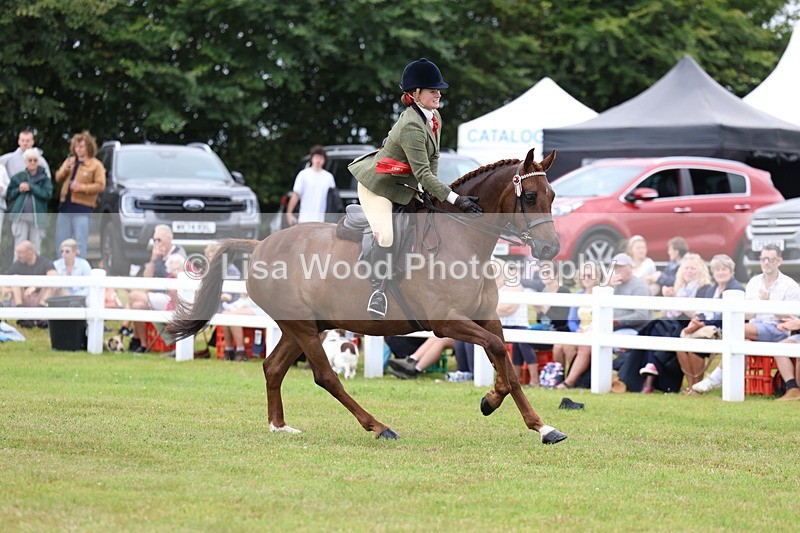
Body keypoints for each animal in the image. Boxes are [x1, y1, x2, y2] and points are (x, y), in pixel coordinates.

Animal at [167, 148, 568, 445]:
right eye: (529, 196)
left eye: (552, 196)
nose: (550, 249)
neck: (463, 239)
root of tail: (261, 244)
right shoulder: (447, 322)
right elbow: (499, 351)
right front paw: (496, 402)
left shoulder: (486, 318)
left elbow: (507, 363)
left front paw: (535, 423)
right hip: (304, 328)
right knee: (325, 375)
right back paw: (378, 426)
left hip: (305, 326)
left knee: (274, 367)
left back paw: (280, 426)